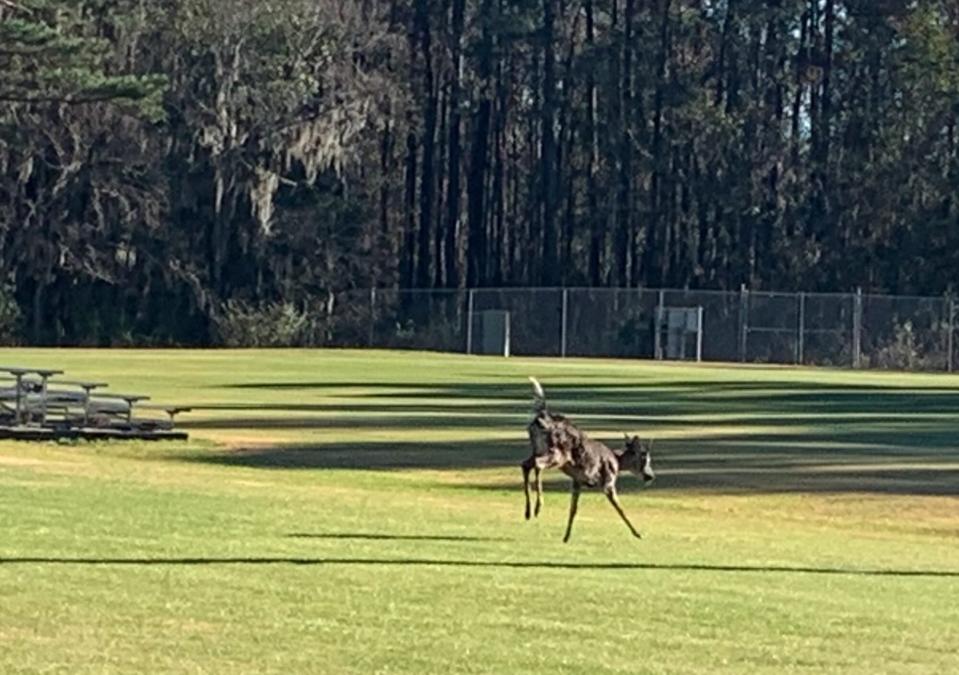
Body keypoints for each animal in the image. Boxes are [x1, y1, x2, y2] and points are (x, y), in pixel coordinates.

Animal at [520, 380, 656, 544]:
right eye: (644, 458)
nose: (650, 476)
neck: (617, 460)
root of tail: (541, 417)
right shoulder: (608, 482)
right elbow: (620, 508)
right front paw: (638, 534)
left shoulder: (577, 481)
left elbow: (573, 509)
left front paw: (566, 537)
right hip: (558, 454)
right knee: (538, 465)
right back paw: (538, 507)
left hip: (538, 450)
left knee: (525, 464)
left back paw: (528, 512)